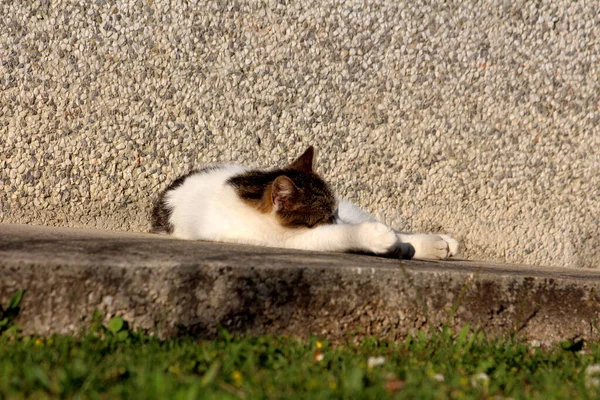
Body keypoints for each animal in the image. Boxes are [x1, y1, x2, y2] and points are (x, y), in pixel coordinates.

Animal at [151, 147, 460, 260]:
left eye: (334, 213)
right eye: (325, 217)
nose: (339, 219)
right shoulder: (282, 239)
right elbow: (333, 236)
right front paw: (376, 237)